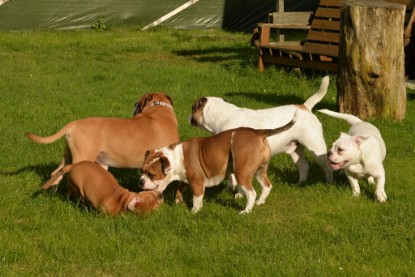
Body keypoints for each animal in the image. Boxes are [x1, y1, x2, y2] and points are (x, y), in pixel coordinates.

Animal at [26, 91, 180, 184]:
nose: (134, 104)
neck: (158, 109)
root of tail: (73, 124)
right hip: (82, 157)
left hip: (68, 157)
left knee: (55, 173)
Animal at [140, 110, 300, 213]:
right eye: (142, 171)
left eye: (152, 174)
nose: (140, 181)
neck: (175, 157)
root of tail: (257, 132)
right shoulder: (185, 178)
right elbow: (180, 187)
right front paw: (178, 201)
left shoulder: (197, 182)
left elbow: (197, 198)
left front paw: (194, 211)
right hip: (260, 170)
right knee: (267, 186)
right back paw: (260, 202)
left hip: (242, 172)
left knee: (251, 193)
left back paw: (246, 211)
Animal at [190, 75, 334, 183]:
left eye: (192, 108)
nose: (188, 116)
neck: (224, 116)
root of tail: (305, 107)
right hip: (295, 150)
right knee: (304, 167)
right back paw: (300, 183)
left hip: (316, 147)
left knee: (327, 167)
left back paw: (329, 182)